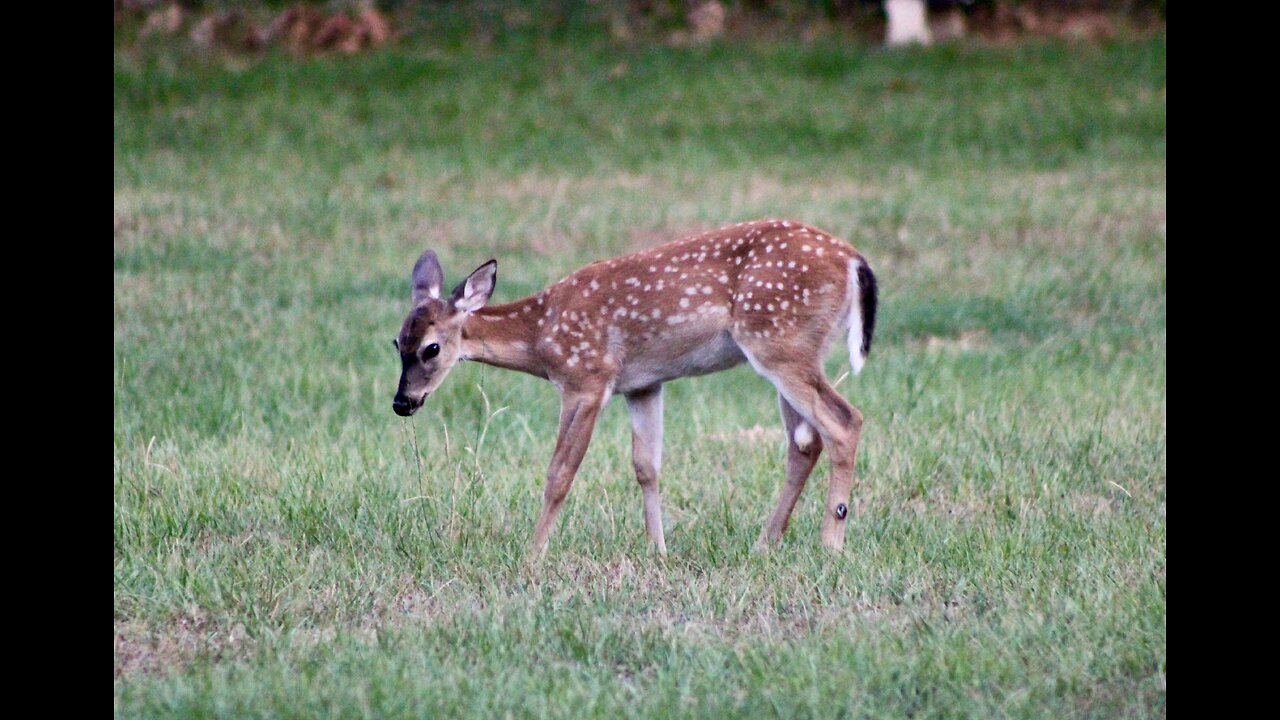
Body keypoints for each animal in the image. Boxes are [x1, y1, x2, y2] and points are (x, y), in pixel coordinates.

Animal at [389, 219, 880, 556]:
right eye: (397, 342)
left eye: (432, 348)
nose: (402, 402)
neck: (542, 333)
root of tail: (853, 259)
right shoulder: (644, 385)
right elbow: (646, 467)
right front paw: (658, 550)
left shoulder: (587, 379)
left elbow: (560, 474)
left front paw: (533, 556)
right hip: (791, 348)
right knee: (804, 441)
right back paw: (765, 543)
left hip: (780, 343)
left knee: (844, 421)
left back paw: (830, 544)